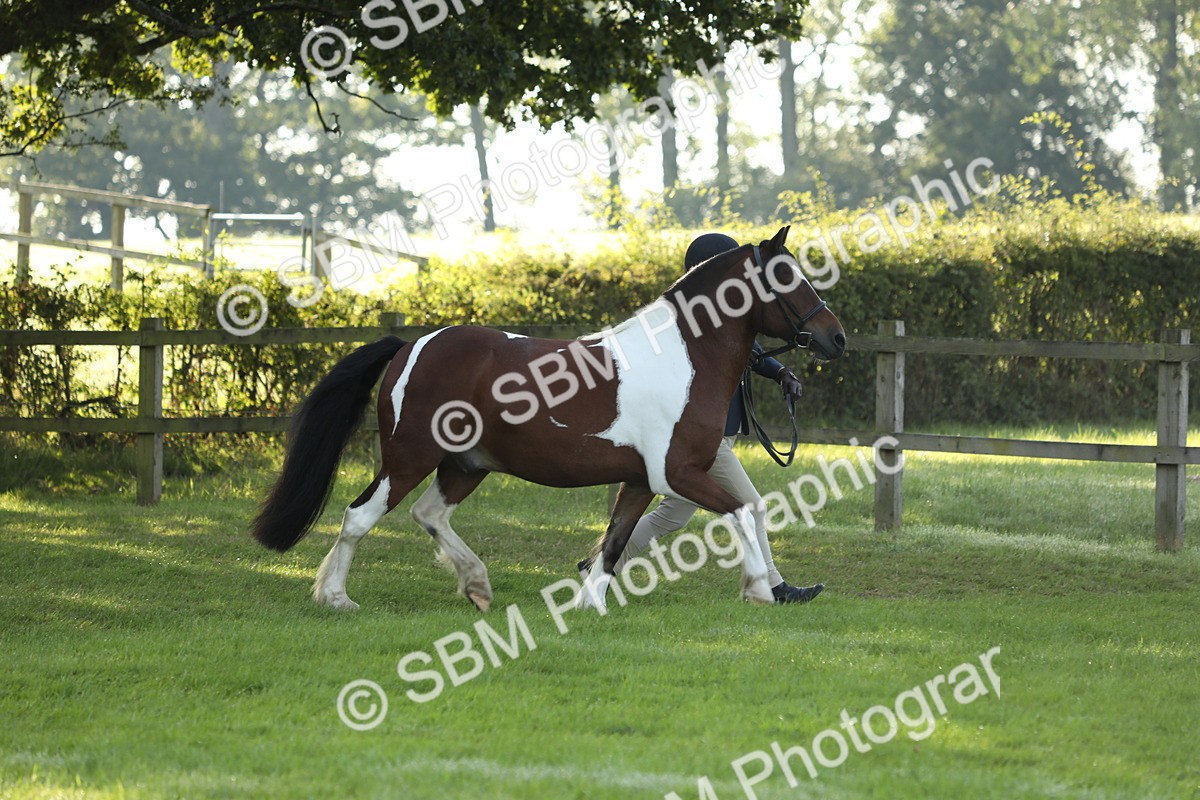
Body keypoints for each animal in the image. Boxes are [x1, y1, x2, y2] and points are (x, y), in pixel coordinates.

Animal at [250, 226, 846, 612]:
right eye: (786, 276)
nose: (836, 338)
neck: (683, 357)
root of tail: (411, 345)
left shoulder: (640, 480)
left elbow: (614, 543)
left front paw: (590, 604)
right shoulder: (677, 474)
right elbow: (742, 513)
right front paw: (759, 589)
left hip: (466, 465)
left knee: (429, 514)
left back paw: (477, 586)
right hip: (409, 457)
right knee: (359, 516)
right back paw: (336, 597)